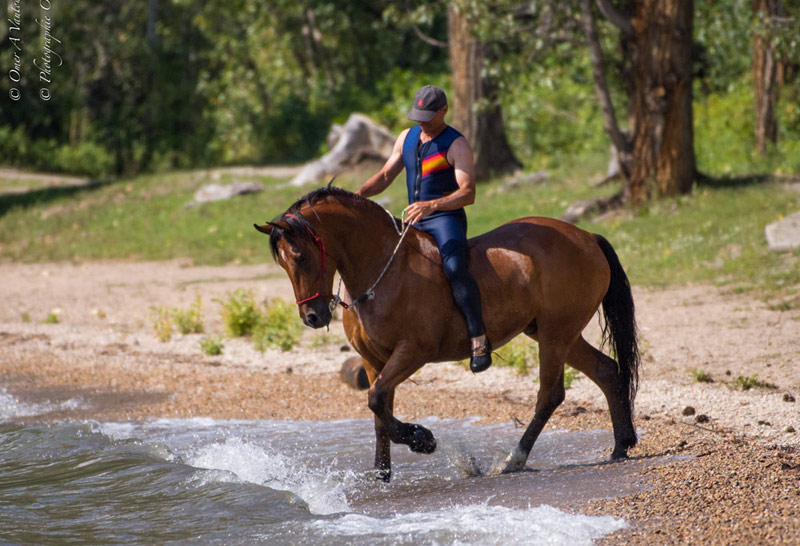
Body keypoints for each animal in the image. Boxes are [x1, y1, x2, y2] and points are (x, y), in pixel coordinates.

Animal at [255, 186, 640, 482]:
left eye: (301, 257)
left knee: (550, 395)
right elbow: (379, 412)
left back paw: (513, 459)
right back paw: (621, 445)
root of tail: (587, 237)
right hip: (557, 333)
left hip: (555, 334)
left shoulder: (413, 352)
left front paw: (421, 439)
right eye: (283, 263)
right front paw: (381, 473)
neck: (382, 271)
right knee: (607, 370)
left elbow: (376, 400)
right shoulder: (373, 360)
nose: (312, 317)